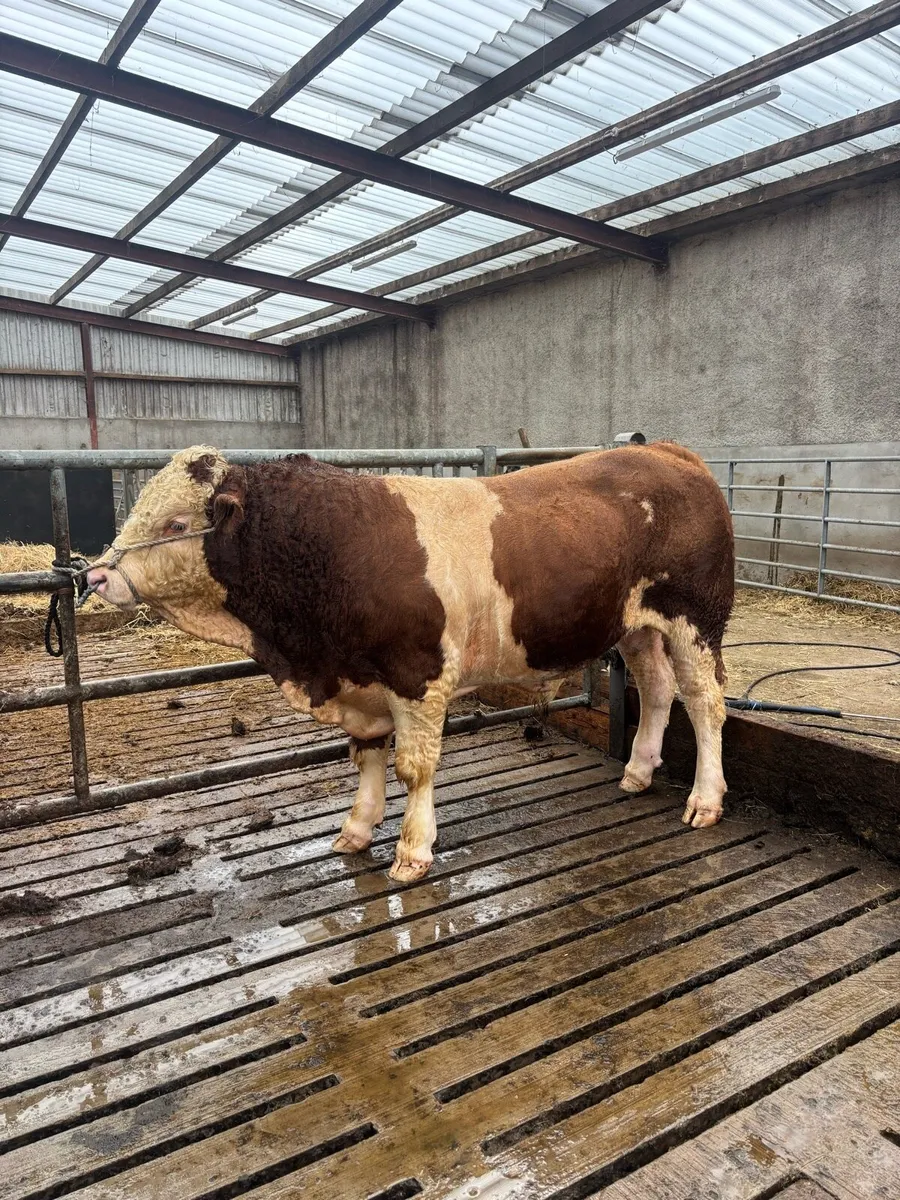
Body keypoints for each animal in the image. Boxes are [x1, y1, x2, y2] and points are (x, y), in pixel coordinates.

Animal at [85, 442, 734, 882]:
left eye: (175, 523)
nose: (94, 576)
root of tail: (667, 450)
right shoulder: (362, 680)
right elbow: (368, 756)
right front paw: (356, 829)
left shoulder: (416, 676)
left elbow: (414, 769)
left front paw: (412, 851)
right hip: (638, 627)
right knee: (657, 689)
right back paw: (638, 770)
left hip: (697, 622)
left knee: (705, 704)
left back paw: (704, 800)